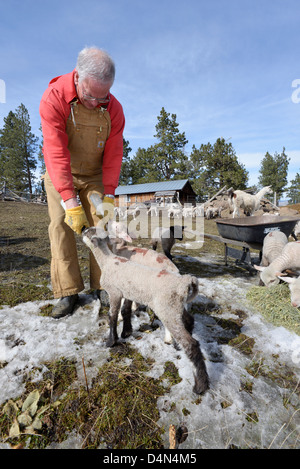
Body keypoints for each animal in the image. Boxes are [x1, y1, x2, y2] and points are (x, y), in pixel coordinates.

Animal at [82, 225, 209, 394]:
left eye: (88, 231)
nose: (82, 228)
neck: (108, 261)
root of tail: (184, 282)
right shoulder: (127, 292)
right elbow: (126, 311)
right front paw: (126, 332)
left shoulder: (114, 292)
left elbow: (112, 315)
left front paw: (111, 341)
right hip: (175, 307)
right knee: (189, 320)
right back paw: (177, 345)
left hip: (166, 309)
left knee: (191, 344)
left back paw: (200, 386)